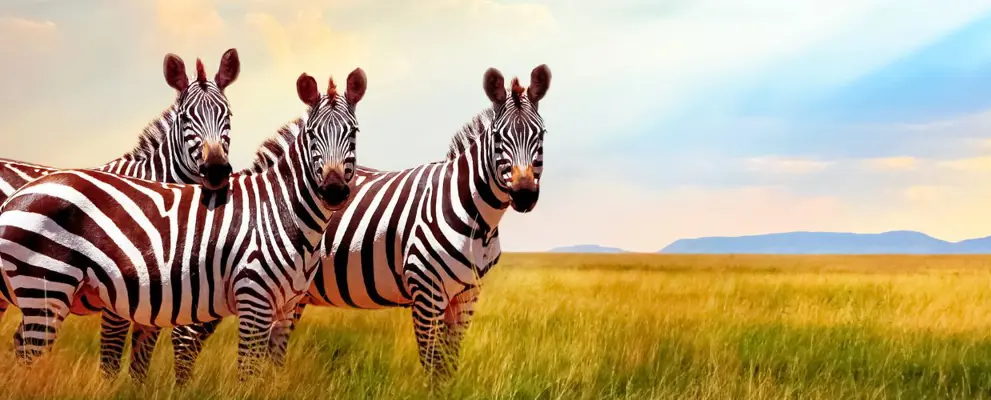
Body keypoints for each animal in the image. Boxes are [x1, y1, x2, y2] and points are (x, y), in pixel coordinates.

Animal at [166, 64, 552, 384]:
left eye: (542, 135)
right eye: (499, 138)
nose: (524, 195)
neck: (477, 218)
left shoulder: (468, 294)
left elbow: (449, 365)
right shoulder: (426, 289)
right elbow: (431, 366)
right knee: (186, 338)